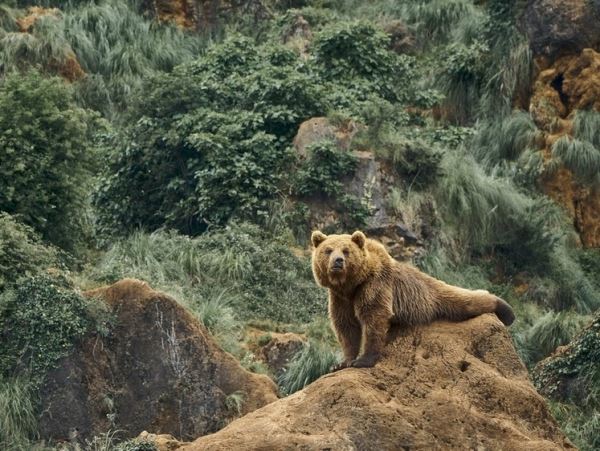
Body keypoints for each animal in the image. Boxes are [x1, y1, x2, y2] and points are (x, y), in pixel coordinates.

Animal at [312, 231, 512, 370]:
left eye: (346, 251)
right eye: (328, 250)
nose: (338, 261)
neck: (351, 284)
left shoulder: (374, 285)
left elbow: (374, 318)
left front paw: (363, 360)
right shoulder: (340, 298)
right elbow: (346, 327)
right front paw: (342, 363)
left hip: (431, 295)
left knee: (465, 300)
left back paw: (506, 311)